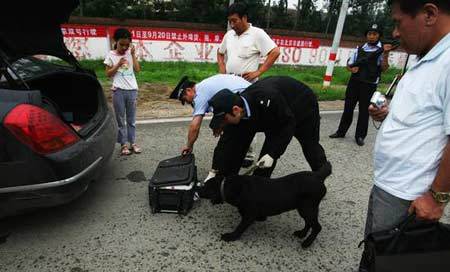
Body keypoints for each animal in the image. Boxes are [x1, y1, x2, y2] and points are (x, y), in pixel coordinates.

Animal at [200, 162, 330, 249]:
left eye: (205, 187)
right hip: (305, 209)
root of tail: (318, 176)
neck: (231, 186)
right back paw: (301, 233)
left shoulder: (249, 215)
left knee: (317, 227)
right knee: (309, 223)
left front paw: (231, 237)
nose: (197, 190)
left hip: (307, 208)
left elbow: (240, 228)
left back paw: (307, 243)